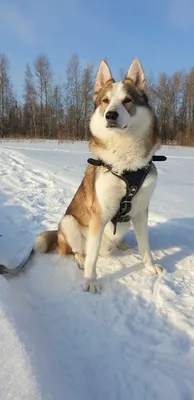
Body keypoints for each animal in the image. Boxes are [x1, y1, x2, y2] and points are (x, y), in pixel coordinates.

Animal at [0, 57, 164, 292]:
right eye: (105, 100)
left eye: (127, 100)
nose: (110, 115)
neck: (125, 162)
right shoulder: (99, 216)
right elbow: (92, 257)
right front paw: (90, 281)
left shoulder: (141, 212)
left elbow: (145, 246)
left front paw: (150, 267)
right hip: (68, 222)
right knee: (75, 252)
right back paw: (79, 259)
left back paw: (121, 244)